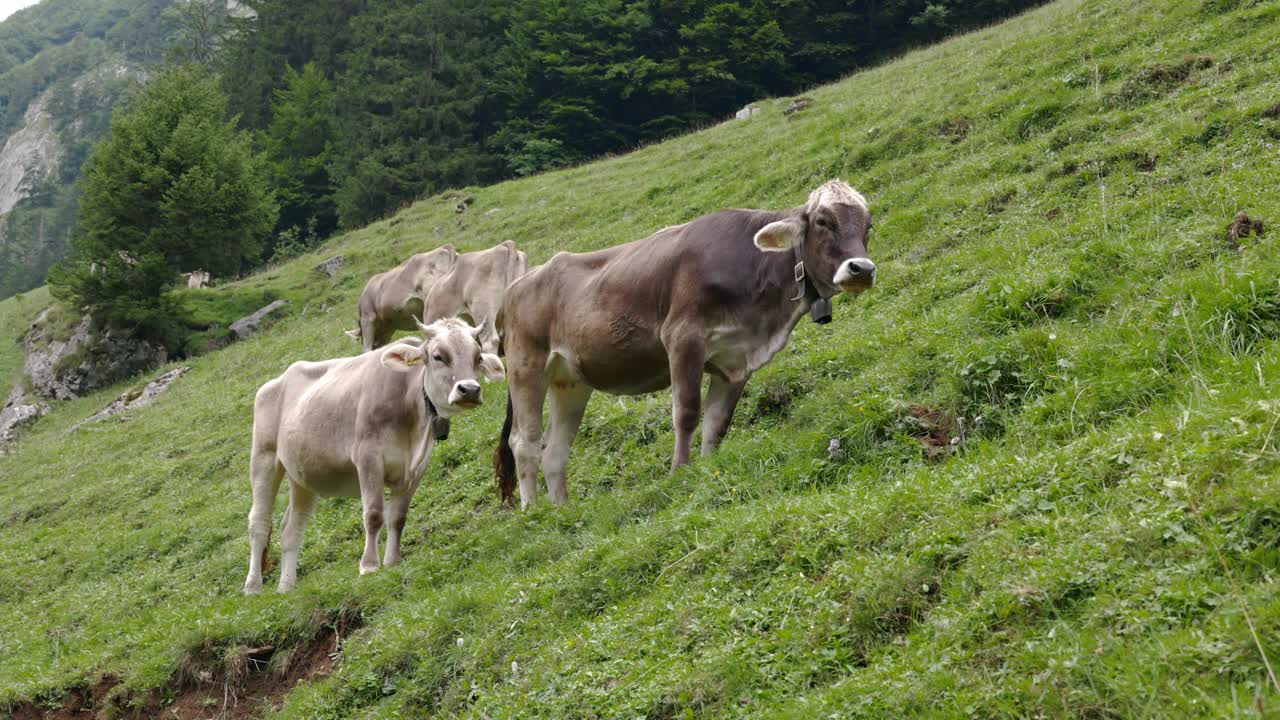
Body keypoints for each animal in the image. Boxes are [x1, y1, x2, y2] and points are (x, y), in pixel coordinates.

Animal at [241, 316, 501, 591]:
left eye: (478, 357)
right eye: (438, 356)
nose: (469, 389)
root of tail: (277, 380)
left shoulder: (416, 468)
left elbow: (398, 517)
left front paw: (393, 560)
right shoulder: (368, 457)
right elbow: (374, 514)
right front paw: (369, 565)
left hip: (301, 475)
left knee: (292, 528)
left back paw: (286, 587)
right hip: (264, 458)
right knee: (259, 523)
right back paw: (253, 586)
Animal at [494, 179, 875, 504]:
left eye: (868, 225)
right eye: (823, 221)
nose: (862, 269)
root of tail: (516, 287)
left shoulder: (737, 360)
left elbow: (718, 422)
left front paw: (708, 469)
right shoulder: (682, 338)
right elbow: (687, 412)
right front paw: (680, 471)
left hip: (570, 380)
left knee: (555, 450)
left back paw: (562, 511)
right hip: (527, 364)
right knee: (524, 442)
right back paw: (533, 510)